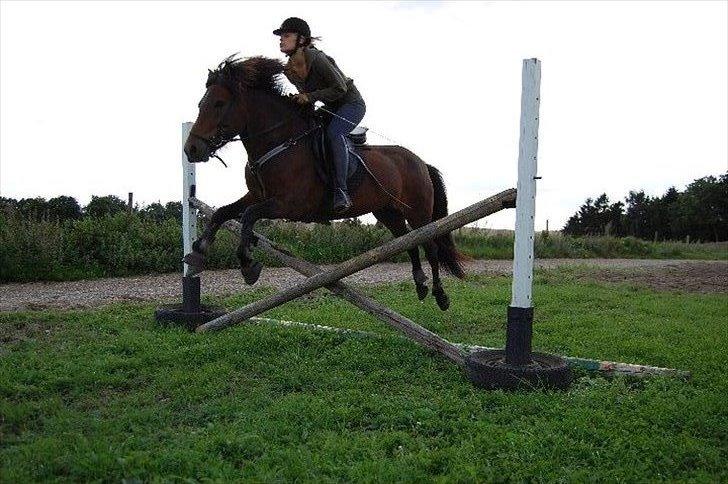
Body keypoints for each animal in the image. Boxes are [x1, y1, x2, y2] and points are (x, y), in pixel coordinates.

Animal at [183, 54, 466, 308]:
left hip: (418, 211)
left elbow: (250, 216)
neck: (280, 142)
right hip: (388, 211)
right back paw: (420, 284)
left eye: (219, 104)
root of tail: (421, 162)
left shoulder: (290, 205)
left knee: (430, 246)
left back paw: (440, 295)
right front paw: (197, 252)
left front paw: (247, 264)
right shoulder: (257, 195)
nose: (191, 149)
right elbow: (222, 212)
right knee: (408, 242)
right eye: (200, 104)